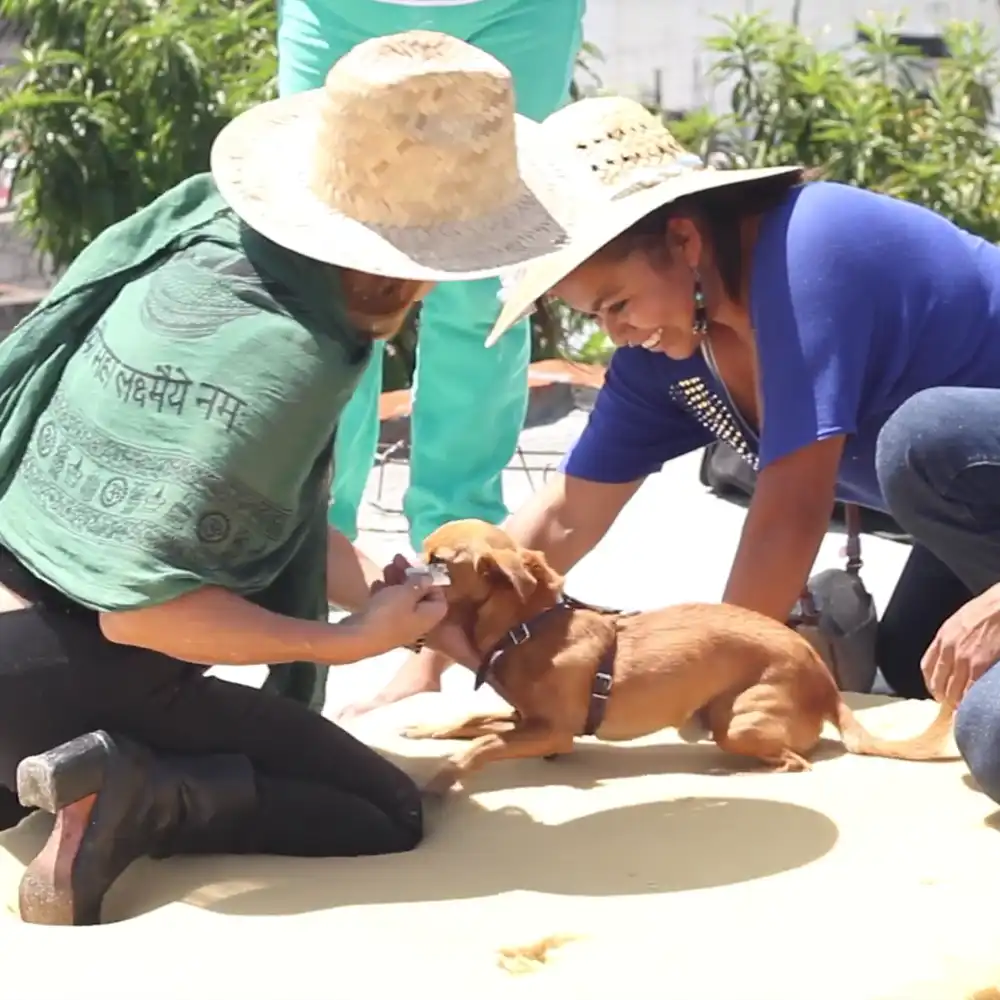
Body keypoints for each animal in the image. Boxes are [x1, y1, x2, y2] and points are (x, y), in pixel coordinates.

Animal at [402, 520, 956, 792]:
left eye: (438, 561)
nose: (402, 568)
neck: (529, 626)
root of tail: (825, 683)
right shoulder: (524, 719)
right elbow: (473, 721)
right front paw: (424, 729)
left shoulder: (552, 731)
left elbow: (480, 747)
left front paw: (442, 780)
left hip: (738, 723)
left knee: (794, 762)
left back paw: (741, 773)